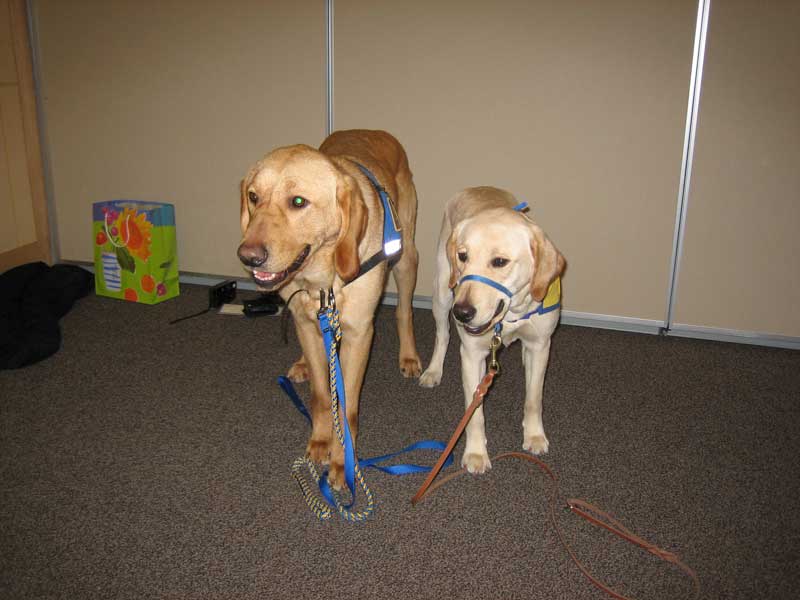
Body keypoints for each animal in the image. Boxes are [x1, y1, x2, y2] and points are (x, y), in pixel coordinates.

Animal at [416, 185, 564, 476]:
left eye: (499, 261)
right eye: (463, 256)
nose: (462, 313)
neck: (510, 316)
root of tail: (478, 187)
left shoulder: (541, 345)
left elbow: (534, 398)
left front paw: (534, 436)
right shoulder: (472, 355)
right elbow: (474, 414)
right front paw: (475, 453)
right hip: (442, 293)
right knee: (443, 335)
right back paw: (433, 370)